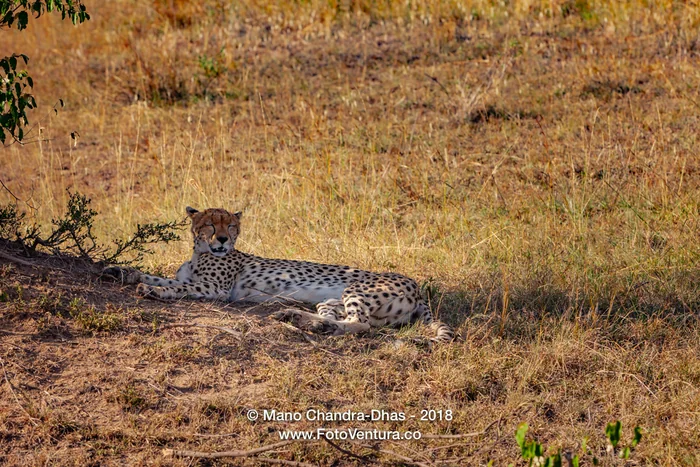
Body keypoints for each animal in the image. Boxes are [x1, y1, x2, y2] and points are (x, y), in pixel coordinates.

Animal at [104, 207, 454, 343]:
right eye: (210, 224)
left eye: (231, 225)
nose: (223, 239)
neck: (200, 252)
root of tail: (417, 287)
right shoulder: (194, 278)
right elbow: (160, 276)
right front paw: (122, 271)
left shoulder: (215, 289)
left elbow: (175, 288)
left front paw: (153, 291)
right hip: (332, 300)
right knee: (341, 319)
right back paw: (300, 319)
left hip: (356, 289)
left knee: (361, 325)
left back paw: (304, 321)